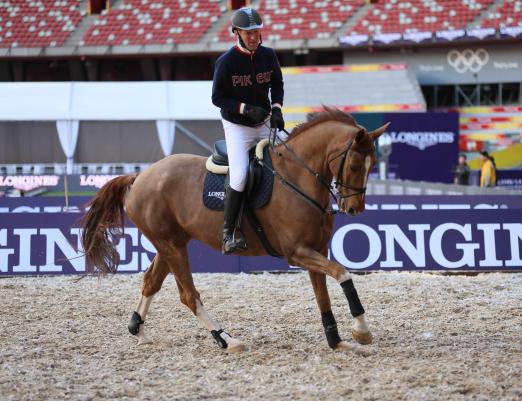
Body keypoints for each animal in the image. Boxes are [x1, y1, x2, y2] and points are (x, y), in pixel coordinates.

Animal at [81, 108, 388, 352]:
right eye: (355, 164)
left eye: (373, 165)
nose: (354, 209)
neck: (297, 177)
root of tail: (141, 175)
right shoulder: (297, 252)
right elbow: (343, 273)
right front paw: (361, 330)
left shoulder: (316, 250)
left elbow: (323, 293)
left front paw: (336, 340)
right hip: (171, 246)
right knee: (189, 296)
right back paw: (225, 339)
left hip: (170, 243)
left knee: (150, 282)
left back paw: (139, 330)